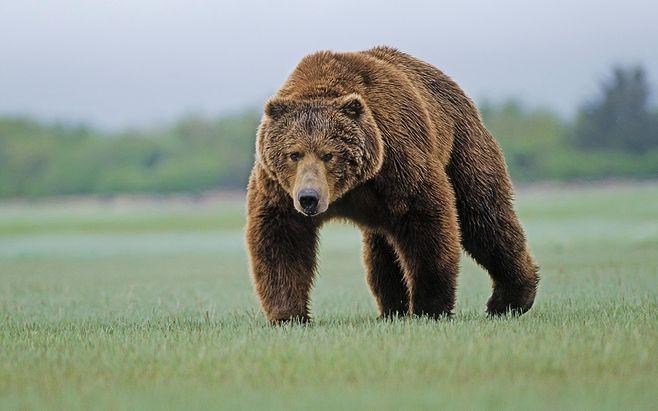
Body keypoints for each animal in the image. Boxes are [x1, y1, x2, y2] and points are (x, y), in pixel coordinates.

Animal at [243, 46, 536, 324]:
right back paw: (392, 309)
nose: (309, 198)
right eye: (294, 154)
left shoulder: (398, 161)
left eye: (329, 154)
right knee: (382, 250)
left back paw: (511, 299)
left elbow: (427, 225)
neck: (349, 189)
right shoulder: (279, 189)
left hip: (462, 147)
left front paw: (429, 307)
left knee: (484, 217)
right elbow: (281, 239)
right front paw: (288, 314)